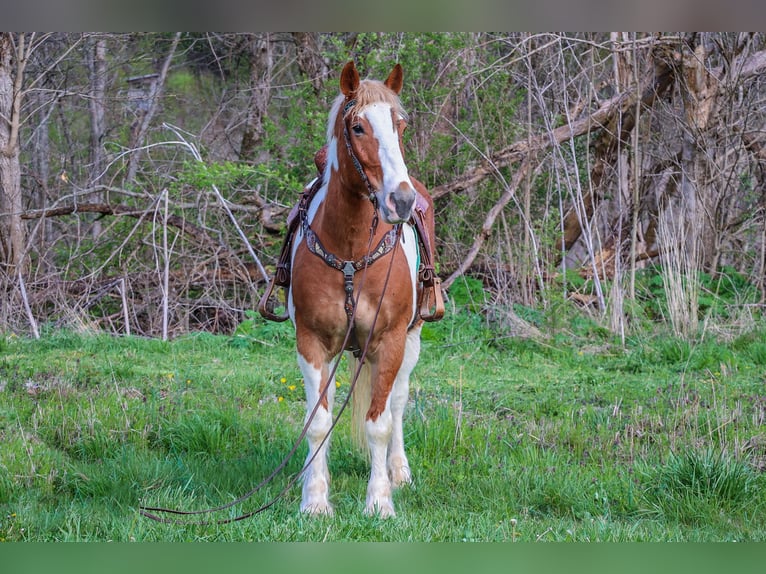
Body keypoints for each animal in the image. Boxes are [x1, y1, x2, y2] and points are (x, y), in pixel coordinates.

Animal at [286, 60, 438, 520]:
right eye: (357, 127)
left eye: (400, 124)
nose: (401, 202)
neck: (351, 249)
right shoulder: (312, 342)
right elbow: (318, 421)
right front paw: (315, 500)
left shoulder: (389, 341)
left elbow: (380, 423)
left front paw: (380, 501)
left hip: (411, 339)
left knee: (399, 400)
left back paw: (398, 471)